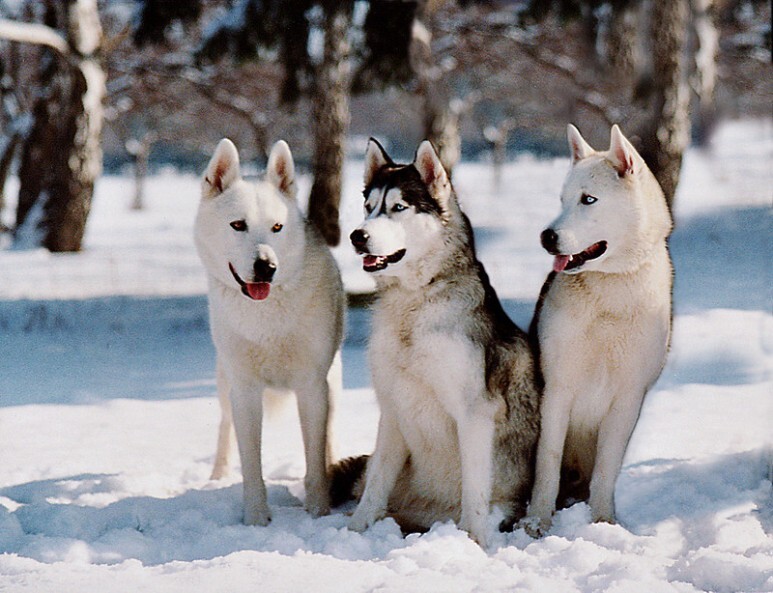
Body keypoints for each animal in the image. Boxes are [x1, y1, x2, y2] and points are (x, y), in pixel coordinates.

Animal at [196, 138, 344, 524]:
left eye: (277, 228)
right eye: (238, 225)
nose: (266, 266)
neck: (267, 321)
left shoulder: (312, 387)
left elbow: (314, 459)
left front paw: (319, 512)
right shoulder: (246, 390)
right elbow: (251, 463)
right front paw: (256, 518)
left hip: (333, 386)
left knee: (329, 436)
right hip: (225, 385)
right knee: (224, 426)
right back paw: (217, 476)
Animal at [338, 139, 544, 544]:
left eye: (398, 207)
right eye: (369, 207)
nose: (357, 236)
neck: (416, 301)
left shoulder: (475, 413)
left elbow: (475, 493)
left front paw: (475, 544)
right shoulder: (393, 407)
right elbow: (375, 486)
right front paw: (353, 533)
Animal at [528, 123, 672, 532]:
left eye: (588, 200)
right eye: (562, 200)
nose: (546, 237)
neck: (611, 290)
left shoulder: (628, 398)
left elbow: (606, 471)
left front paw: (604, 523)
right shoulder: (557, 390)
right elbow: (548, 464)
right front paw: (537, 523)